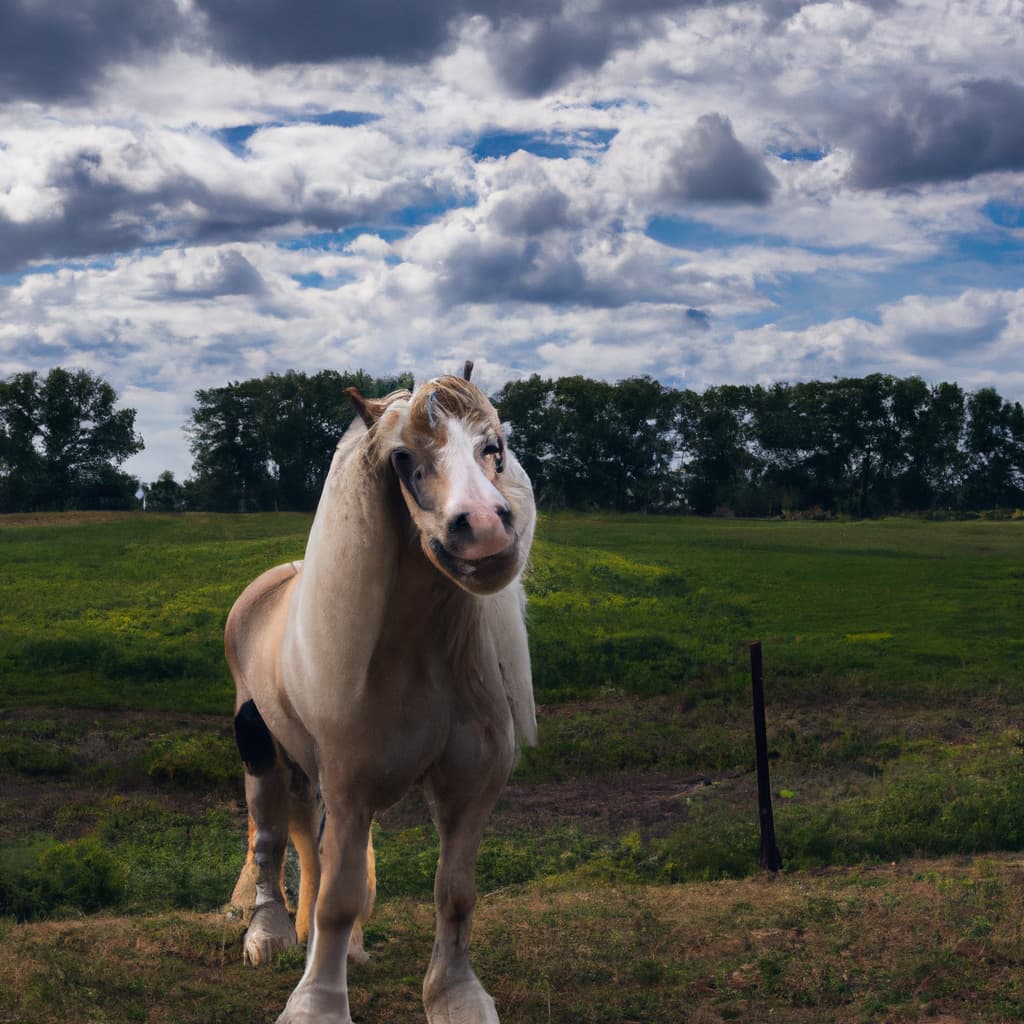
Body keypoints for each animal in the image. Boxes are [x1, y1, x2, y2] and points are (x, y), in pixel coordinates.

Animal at [224, 362, 537, 1024]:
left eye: (493, 445)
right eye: (401, 456)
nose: (485, 531)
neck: (424, 658)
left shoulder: (470, 787)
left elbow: (454, 893)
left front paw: (455, 996)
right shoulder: (350, 787)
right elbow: (339, 896)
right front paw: (316, 1004)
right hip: (259, 749)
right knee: (269, 840)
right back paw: (269, 936)